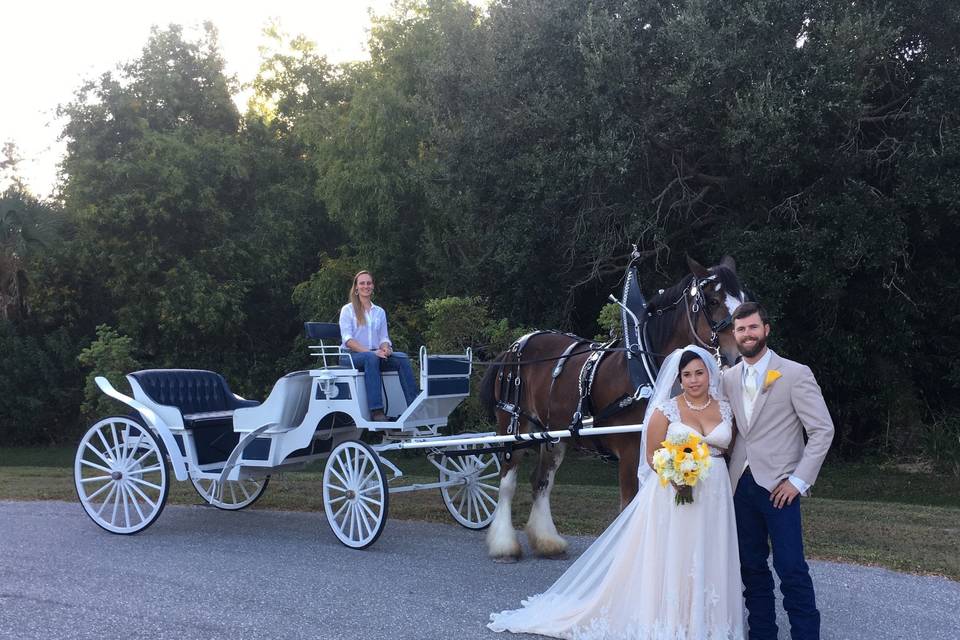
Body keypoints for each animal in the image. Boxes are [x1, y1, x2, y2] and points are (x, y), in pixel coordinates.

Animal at [478, 255, 744, 560]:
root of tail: (514, 347)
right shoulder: (630, 453)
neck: (645, 368)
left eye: (744, 299)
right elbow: (628, 506)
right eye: (712, 300)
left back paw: (547, 541)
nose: (738, 355)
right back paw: (504, 544)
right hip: (513, 425)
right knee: (507, 482)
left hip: (553, 435)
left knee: (541, 482)